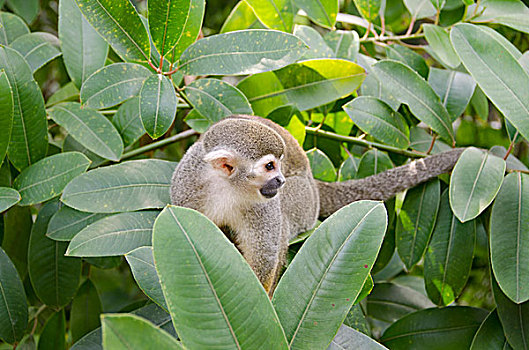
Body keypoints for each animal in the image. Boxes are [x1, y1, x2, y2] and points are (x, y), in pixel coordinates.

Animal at [170, 115, 462, 296]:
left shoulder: (264, 205)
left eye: (278, 164)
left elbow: (264, 259)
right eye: (269, 166)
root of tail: (313, 183)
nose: (280, 180)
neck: (228, 187)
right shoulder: (186, 188)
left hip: (303, 200)